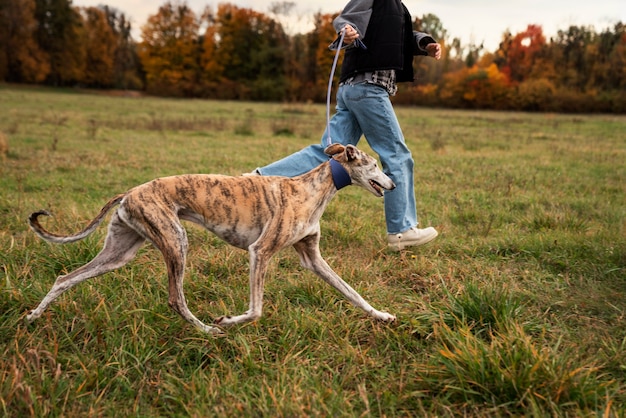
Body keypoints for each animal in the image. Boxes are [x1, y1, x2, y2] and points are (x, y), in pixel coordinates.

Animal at [26, 144, 394, 334]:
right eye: (374, 164)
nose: (392, 184)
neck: (312, 189)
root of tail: (128, 193)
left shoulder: (312, 257)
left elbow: (351, 292)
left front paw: (382, 315)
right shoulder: (260, 251)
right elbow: (256, 310)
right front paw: (227, 320)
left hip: (120, 251)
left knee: (65, 278)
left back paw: (32, 316)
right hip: (176, 241)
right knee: (175, 300)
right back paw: (206, 329)